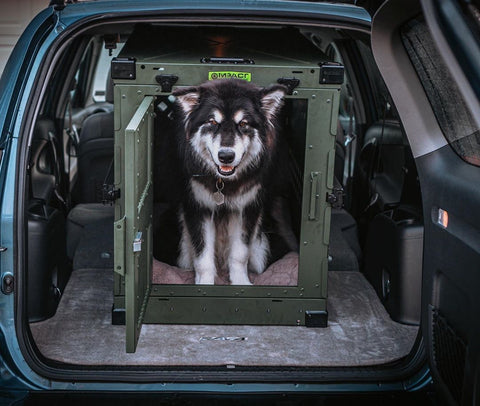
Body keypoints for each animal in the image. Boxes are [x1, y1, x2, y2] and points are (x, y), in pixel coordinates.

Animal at [172, 78, 286, 282]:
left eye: (243, 123)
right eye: (211, 122)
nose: (226, 156)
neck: (224, 183)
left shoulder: (246, 209)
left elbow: (240, 253)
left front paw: (240, 282)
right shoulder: (198, 208)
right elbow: (202, 258)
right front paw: (204, 284)